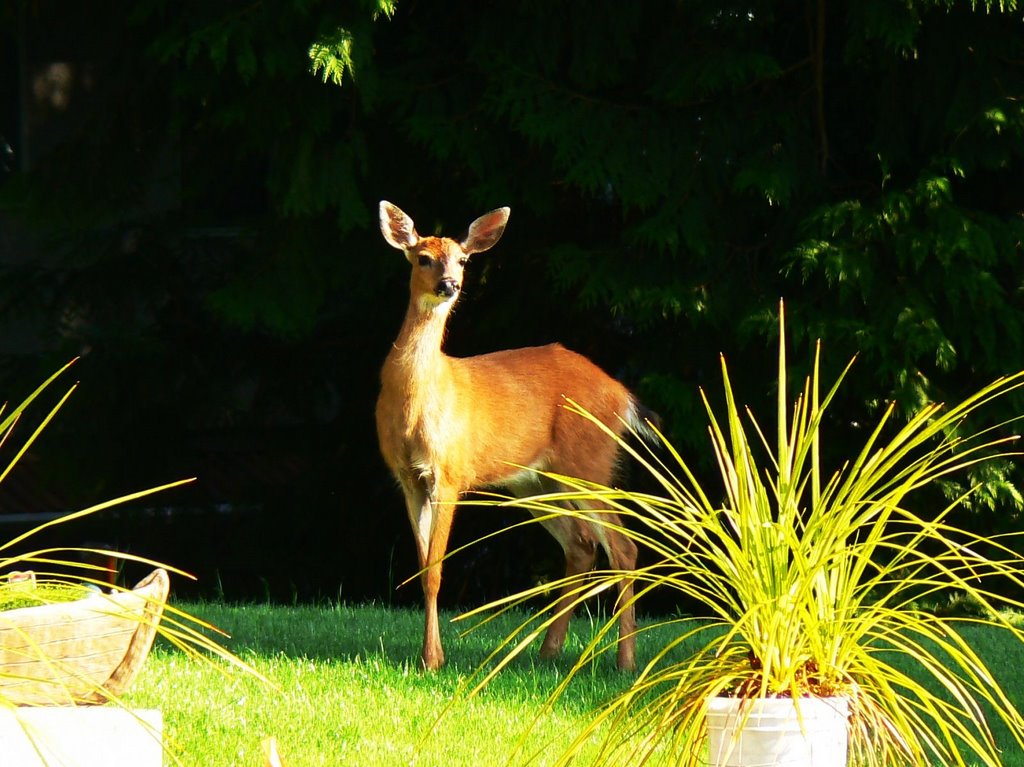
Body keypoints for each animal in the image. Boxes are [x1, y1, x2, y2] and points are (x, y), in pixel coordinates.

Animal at [376, 201, 655, 671]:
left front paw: (433, 659)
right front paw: (428, 654)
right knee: (582, 545)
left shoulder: (449, 472)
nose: (449, 285)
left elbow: (436, 569)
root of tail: (623, 396)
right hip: (537, 482)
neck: (417, 398)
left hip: (589, 464)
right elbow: (421, 568)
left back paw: (625, 661)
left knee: (623, 546)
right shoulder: (406, 477)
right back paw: (549, 650)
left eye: (463, 260)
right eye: (423, 258)